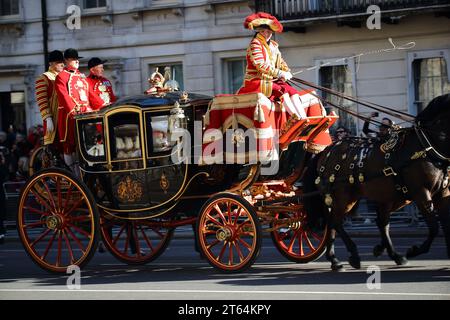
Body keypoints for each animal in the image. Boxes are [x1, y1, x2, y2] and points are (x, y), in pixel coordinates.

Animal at [304, 94, 448, 272]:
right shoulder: (421, 192)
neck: (425, 145)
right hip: (343, 197)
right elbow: (434, 227)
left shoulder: (440, 192)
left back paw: (337, 260)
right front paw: (414, 250)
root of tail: (325, 151)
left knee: (336, 223)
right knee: (336, 222)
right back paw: (352, 255)